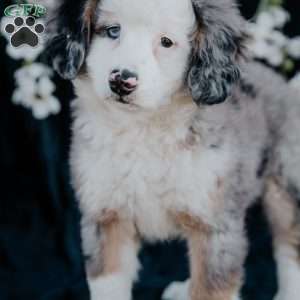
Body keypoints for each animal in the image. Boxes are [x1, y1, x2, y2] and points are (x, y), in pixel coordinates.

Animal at [48, 0, 300, 300]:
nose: (122, 81)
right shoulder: (107, 215)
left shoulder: (214, 223)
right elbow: (109, 285)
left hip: (285, 187)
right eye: (112, 30)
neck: (143, 129)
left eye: (166, 42)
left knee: (290, 246)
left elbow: (208, 291)